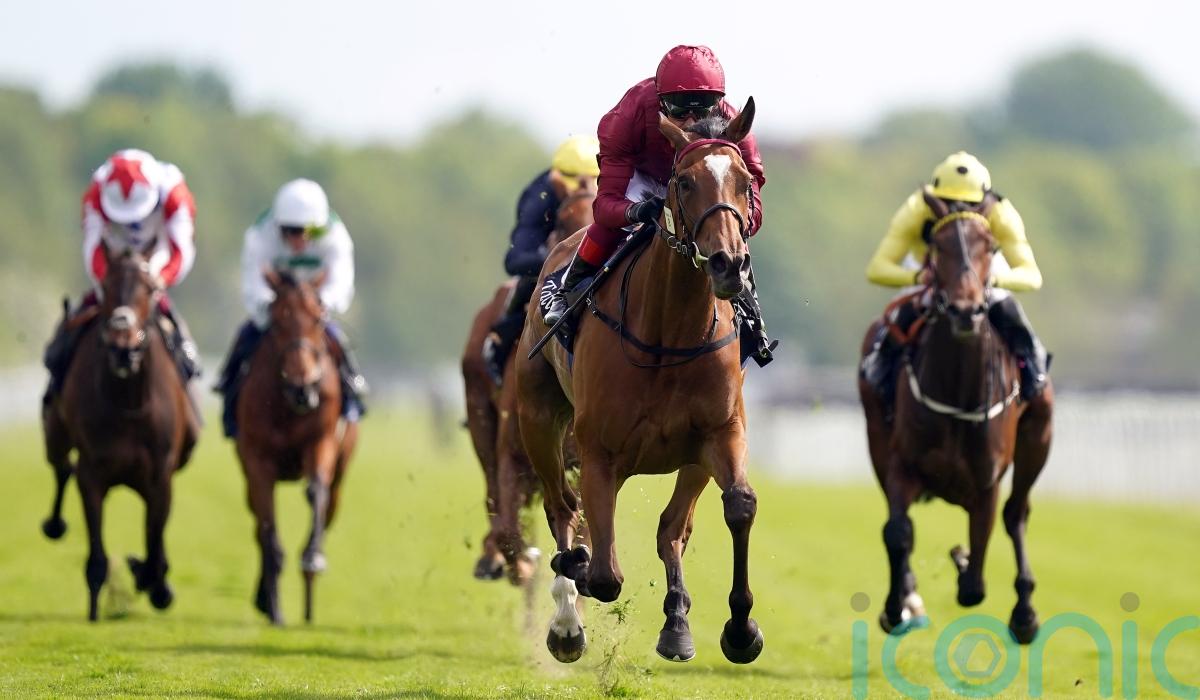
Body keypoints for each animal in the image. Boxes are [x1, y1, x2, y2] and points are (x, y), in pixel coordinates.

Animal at [41, 247, 198, 621]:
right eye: (107, 285)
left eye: (150, 288)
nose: (123, 346)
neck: (129, 402)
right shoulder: (92, 474)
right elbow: (97, 555)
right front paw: (96, 608)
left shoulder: (160, 477)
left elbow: (155, 545)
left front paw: (152, 580)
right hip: (55, 434)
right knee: (61, 466)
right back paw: (55, 524)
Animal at [234, 269, 359, 625]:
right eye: (277, 321)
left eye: (318, 318)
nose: (302, 387)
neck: (288, 406)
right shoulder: (257, 461)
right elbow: (267, 531)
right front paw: (274, 605)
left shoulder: (321, 441)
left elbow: (316, 491)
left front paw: (312, 557)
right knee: (258, 525)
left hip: (341, 472)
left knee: (328, 502)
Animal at [462, 180, 595, 585]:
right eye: (561, 219)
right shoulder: (514, 453)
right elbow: (508, 527)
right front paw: (523, 564)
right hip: (481, 420)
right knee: (493, 496)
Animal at [515, 101, 764, 664]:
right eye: (685, 181)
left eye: (745, 182)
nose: (729, 264)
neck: (667, 336)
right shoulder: (599, 451)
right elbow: (604, 574)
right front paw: (579, 576)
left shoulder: (720, 433)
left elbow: (736, 507)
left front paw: (739, 629)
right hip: (538, 420)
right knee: (563, 510)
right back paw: (567, 621)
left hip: (686, 460)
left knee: (670, 530)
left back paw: (676, 621)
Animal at [857, 189, 1054, 644]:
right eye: (938, 245)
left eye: (991, 246)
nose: (966, 310)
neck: (959, 389)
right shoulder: (902, 464)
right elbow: (898, 532)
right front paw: (898, 607)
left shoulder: (986, 482)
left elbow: (975, 579)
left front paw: (964, 561)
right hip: (875, 434)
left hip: (1039, 436)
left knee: (1016, 514)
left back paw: (1024, 612)